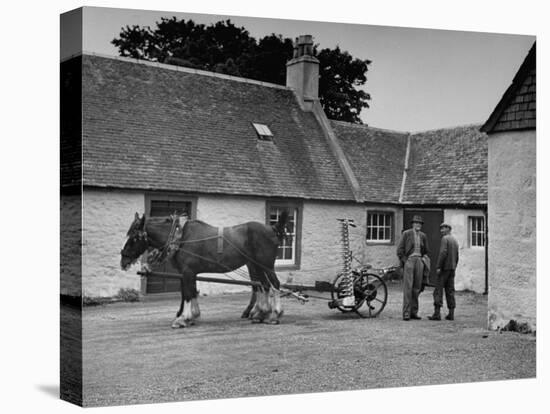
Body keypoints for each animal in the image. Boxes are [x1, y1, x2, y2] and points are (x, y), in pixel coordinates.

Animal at [121, 212, 294, 328]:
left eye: (134, 237)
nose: (123, 260)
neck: (181, 238)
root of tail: (271, 228)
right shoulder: (189, 273)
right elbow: (191, 292)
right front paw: (192, 316)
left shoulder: (187, 272)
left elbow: (188, 294)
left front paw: (183, 318)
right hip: (256, 266)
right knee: (264, 285)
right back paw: (261, 313)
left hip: (265, 265)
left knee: (274, 285)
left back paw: (275, 314)